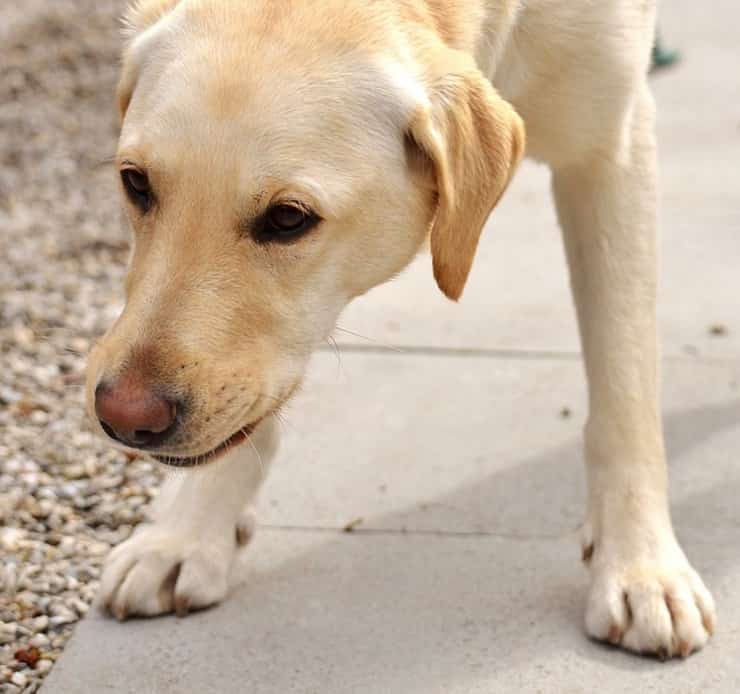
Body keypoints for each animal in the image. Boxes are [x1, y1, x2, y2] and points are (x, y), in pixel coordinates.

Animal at [88, 0, 716, 664]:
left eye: (287, 219)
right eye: (135, 183)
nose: (123, 417)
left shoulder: (610, 147)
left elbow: (624, 389)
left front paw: (641, 569)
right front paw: (187, 534)